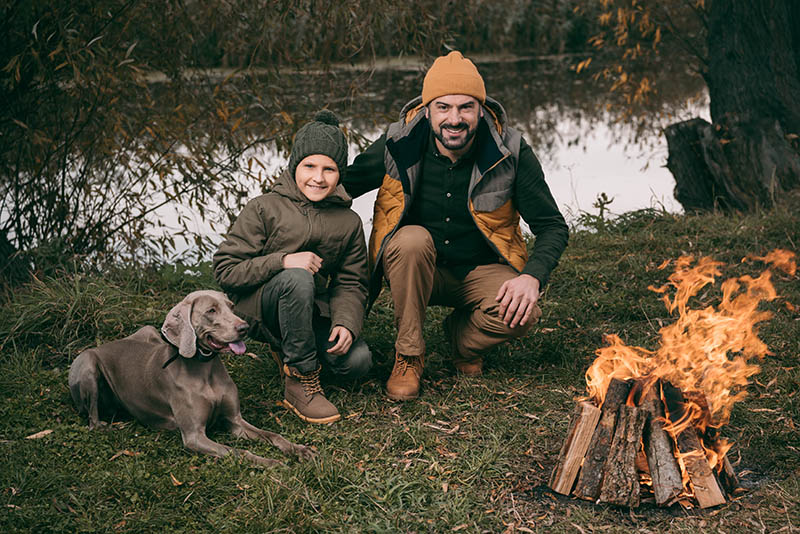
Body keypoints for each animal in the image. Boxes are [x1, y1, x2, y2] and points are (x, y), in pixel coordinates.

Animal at [69, 292, 314, 466]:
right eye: (211, 311)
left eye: (231, 307)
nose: (244, 327)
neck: (205, 369)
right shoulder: (194, 436)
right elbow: (238, 452)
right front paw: (270, 462)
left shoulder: (235, 421)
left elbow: (273, 435)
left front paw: (299, 449)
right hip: (88, 363)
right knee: (92, 420)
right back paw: (109, 426)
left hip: (148, 331)